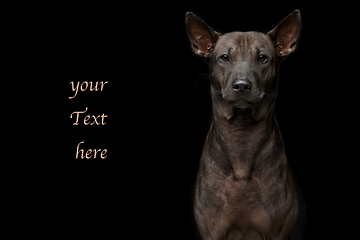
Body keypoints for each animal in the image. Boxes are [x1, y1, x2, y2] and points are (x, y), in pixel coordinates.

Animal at [186, 9, 300, 240]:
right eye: (224, 57)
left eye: (262, 58)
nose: (241, 85)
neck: (241, 135)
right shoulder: (212, 232)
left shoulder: (276, 233)